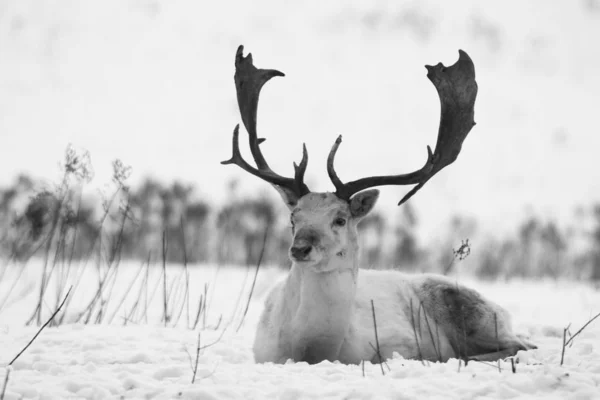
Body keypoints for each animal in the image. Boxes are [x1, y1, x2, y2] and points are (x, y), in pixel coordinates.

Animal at [223, 45, 536, 364]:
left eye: (340, 219)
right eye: (293, 218)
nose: (300, 248)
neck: (313, 348)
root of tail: (504, 312)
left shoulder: (396, 345)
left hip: (470, 311)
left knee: (521, 344)